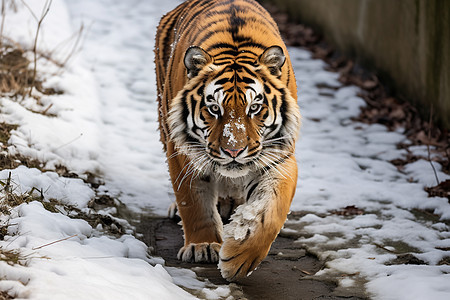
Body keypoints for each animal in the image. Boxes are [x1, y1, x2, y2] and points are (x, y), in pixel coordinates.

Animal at [156, 0, 302, 282]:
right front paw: (202, 246)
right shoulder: (183, 151)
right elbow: (194, 201)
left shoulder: (278, 155)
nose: (233, 151)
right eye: (214, 108)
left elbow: (270, 211)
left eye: (254, 108)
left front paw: (240, 257)